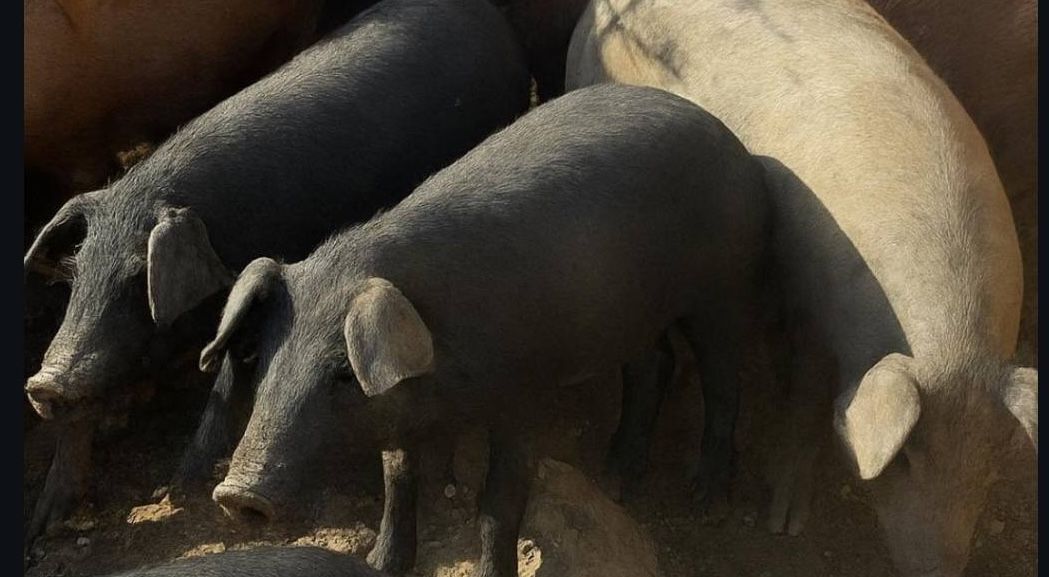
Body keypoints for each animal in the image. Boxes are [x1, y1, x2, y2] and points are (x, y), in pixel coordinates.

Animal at [23, 0, 530, 545]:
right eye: (76, 274)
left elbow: (225, 376)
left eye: (140, 277)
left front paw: (178, 488)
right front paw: (43, 525)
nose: (45, 382)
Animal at [197, 83, 770, 577]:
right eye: (262, 359)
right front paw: (381, 563)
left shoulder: (525, 396)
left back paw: (706, 501)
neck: (445, 385)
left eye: (341, 373)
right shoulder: (399, 413)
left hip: (723, 286)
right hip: (630, 311)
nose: (238, 494)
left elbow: (497, 507)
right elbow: (397, 481)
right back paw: (616, 478)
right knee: (654, 363)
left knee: (725, 380)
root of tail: (723, 134)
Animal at [565, 1, 1038, 575]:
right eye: (904, 458)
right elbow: (806, 394)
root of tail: (594, 13)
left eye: (989, 465)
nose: (939, 569)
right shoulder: (806, 293)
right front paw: (783, 524)